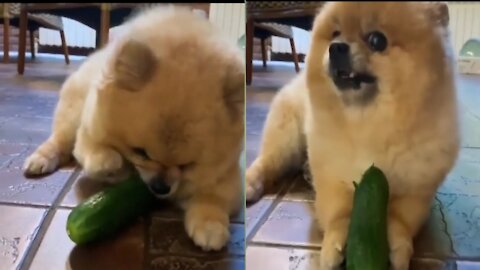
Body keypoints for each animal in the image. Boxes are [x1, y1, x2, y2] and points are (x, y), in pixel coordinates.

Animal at [22, 5, 244, 251]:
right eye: (140, 153)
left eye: (187, 165)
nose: (161, 187)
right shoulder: (88, 132)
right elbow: (95, 150)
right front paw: (107, 162)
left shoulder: (226, 174)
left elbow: (214, 196)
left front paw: (210, 225)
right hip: (72, 113)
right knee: (59, 140)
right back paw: (40, 160)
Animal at [246, 1, 460, 268]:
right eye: (335, 33)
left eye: (377, 40)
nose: (336, 47)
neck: (368, 123)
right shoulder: (333, 177)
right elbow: (339, 212)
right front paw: (334, 245)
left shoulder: (417, 189)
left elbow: (401, 219)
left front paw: (399, 247)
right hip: (287, 138)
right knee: (266, 161)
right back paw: (249, 184)